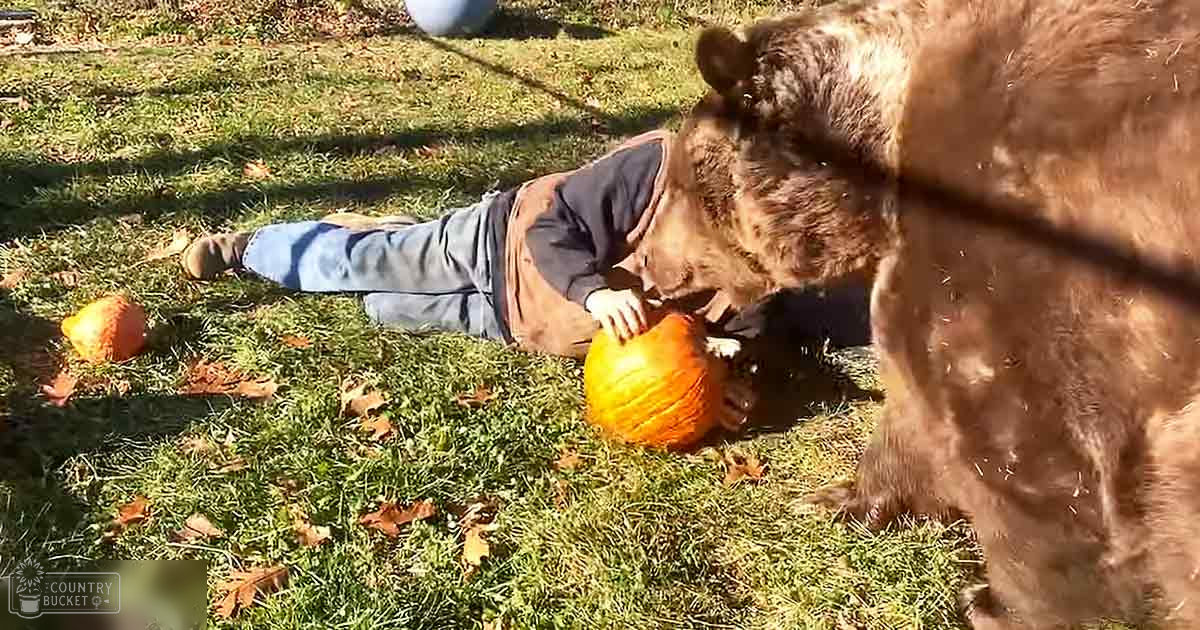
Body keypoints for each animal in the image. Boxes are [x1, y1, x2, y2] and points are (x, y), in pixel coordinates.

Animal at [641, 0, 1200, 627]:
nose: (647, 260)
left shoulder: (1020, 282)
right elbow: (910, 419)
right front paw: (835, 498)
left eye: (679, 182)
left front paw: (993, 601)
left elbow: (1036, 481)